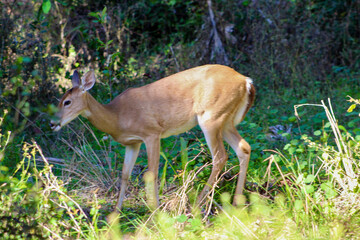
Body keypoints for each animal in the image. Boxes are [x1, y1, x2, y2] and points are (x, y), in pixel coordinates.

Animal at [50, 64, 256, 211]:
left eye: (67, 102)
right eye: (59, 101)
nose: (52, 123)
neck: (117, 117)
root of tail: (246, 81)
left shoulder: (152, 133)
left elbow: (152, 173)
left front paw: (155, 211)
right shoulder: (132, 143)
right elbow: (125, 174)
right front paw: (116, 212)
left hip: (211, 117)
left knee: (220, 156)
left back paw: (197, 204)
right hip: (226, 120)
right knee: (244, 148)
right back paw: (237, 203)